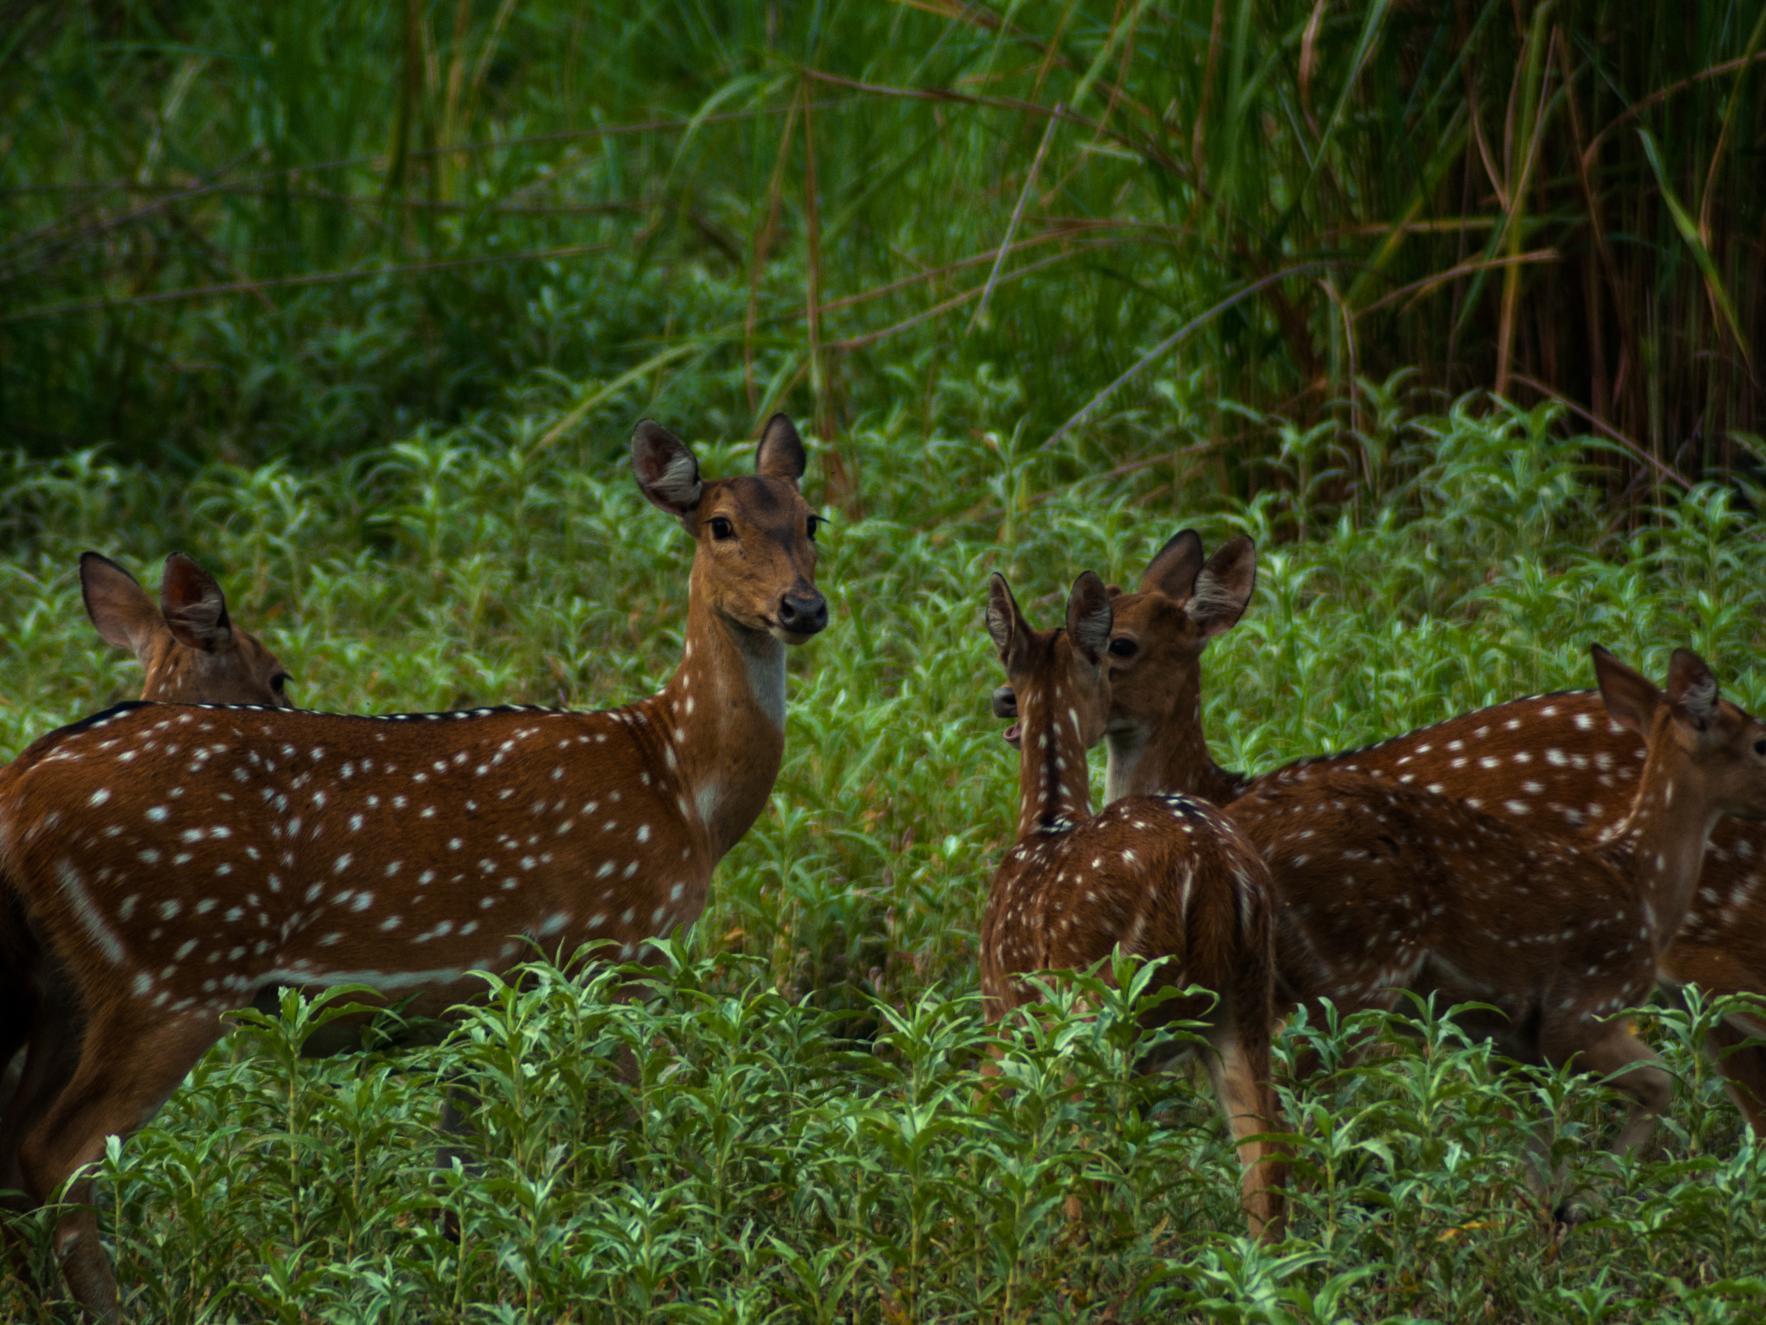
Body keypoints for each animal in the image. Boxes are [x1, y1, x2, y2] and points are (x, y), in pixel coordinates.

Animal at [0, 413, 826, 1321]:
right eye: (721, 525)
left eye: (812, 520)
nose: (802, 606)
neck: (682, 785)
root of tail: (19, 788)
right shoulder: (613, 952)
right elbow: (632, 1140)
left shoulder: (483, 1000)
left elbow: (453, 1173)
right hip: (171, 968)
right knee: (56, 1153)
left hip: (63, 991)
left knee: (13, 1149)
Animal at [981, 572, 1285, 1243]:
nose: (1001, 702)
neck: (1043, 820)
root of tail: (1214, 872)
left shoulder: (1001, 1005)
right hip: (1247, 996)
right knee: (1266, 1153)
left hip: (1105, 1006)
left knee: (1096, 1150)